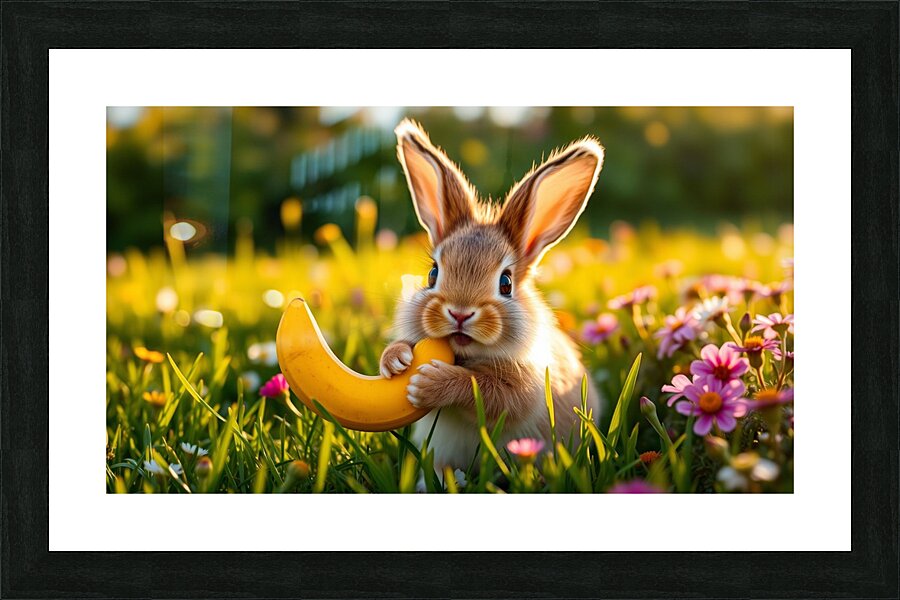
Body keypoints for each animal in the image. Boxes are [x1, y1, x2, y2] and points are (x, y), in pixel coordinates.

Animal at [380, 118, 604, 472]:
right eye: (433, 274)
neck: (465, 355)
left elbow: (486, 393)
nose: (459, 313)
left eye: (506, 283)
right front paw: (395, 361)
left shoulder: (522, 389)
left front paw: (431, 384)